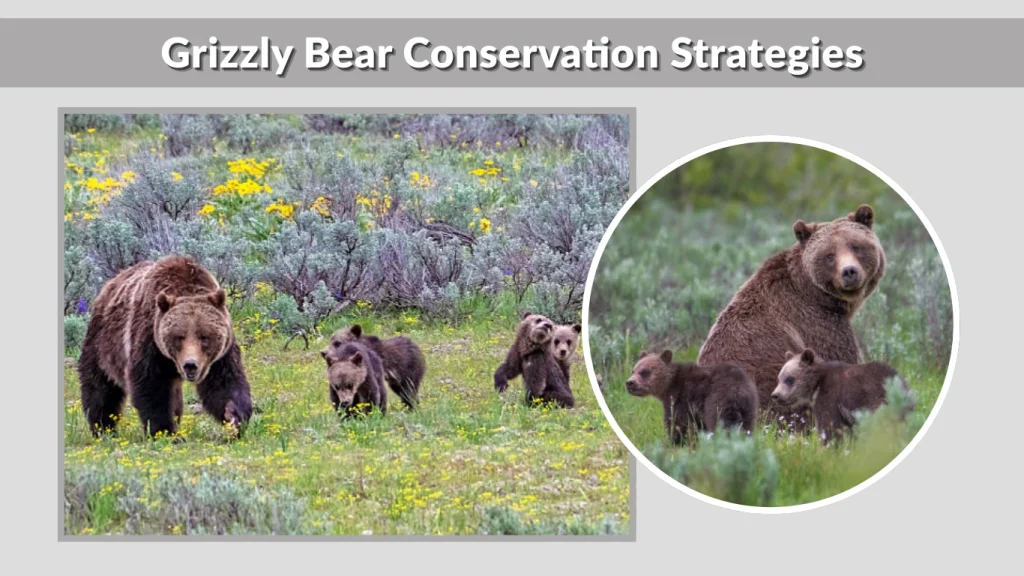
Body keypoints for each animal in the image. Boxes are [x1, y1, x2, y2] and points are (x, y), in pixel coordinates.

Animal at [76, 255, 253, 439]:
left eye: (204, 336)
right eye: (179, 337)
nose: (190, 365)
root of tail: (110, 284)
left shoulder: (220, 355)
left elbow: (225, 383)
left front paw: (233, 418)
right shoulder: (150, 342)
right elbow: (152, 387)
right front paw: (165, 431)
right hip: (102, 343)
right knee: (101, 388)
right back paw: (103, 428)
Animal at [626, 349, 758, 445]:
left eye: (644, 372)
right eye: (633, 370)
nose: (629, 383)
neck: (668, 385)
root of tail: (738, 390)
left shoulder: (680, 397)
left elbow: (676, 422)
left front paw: (672, 442)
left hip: (718, 400)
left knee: (722, 423)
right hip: (749, 407)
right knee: (747, 426)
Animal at [771, 347, 914, 441]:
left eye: (789, 379)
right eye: (779, 378)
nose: (775, 395)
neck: (816, 385)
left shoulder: (830, 397)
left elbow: (829, 427)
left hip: (878, 403)